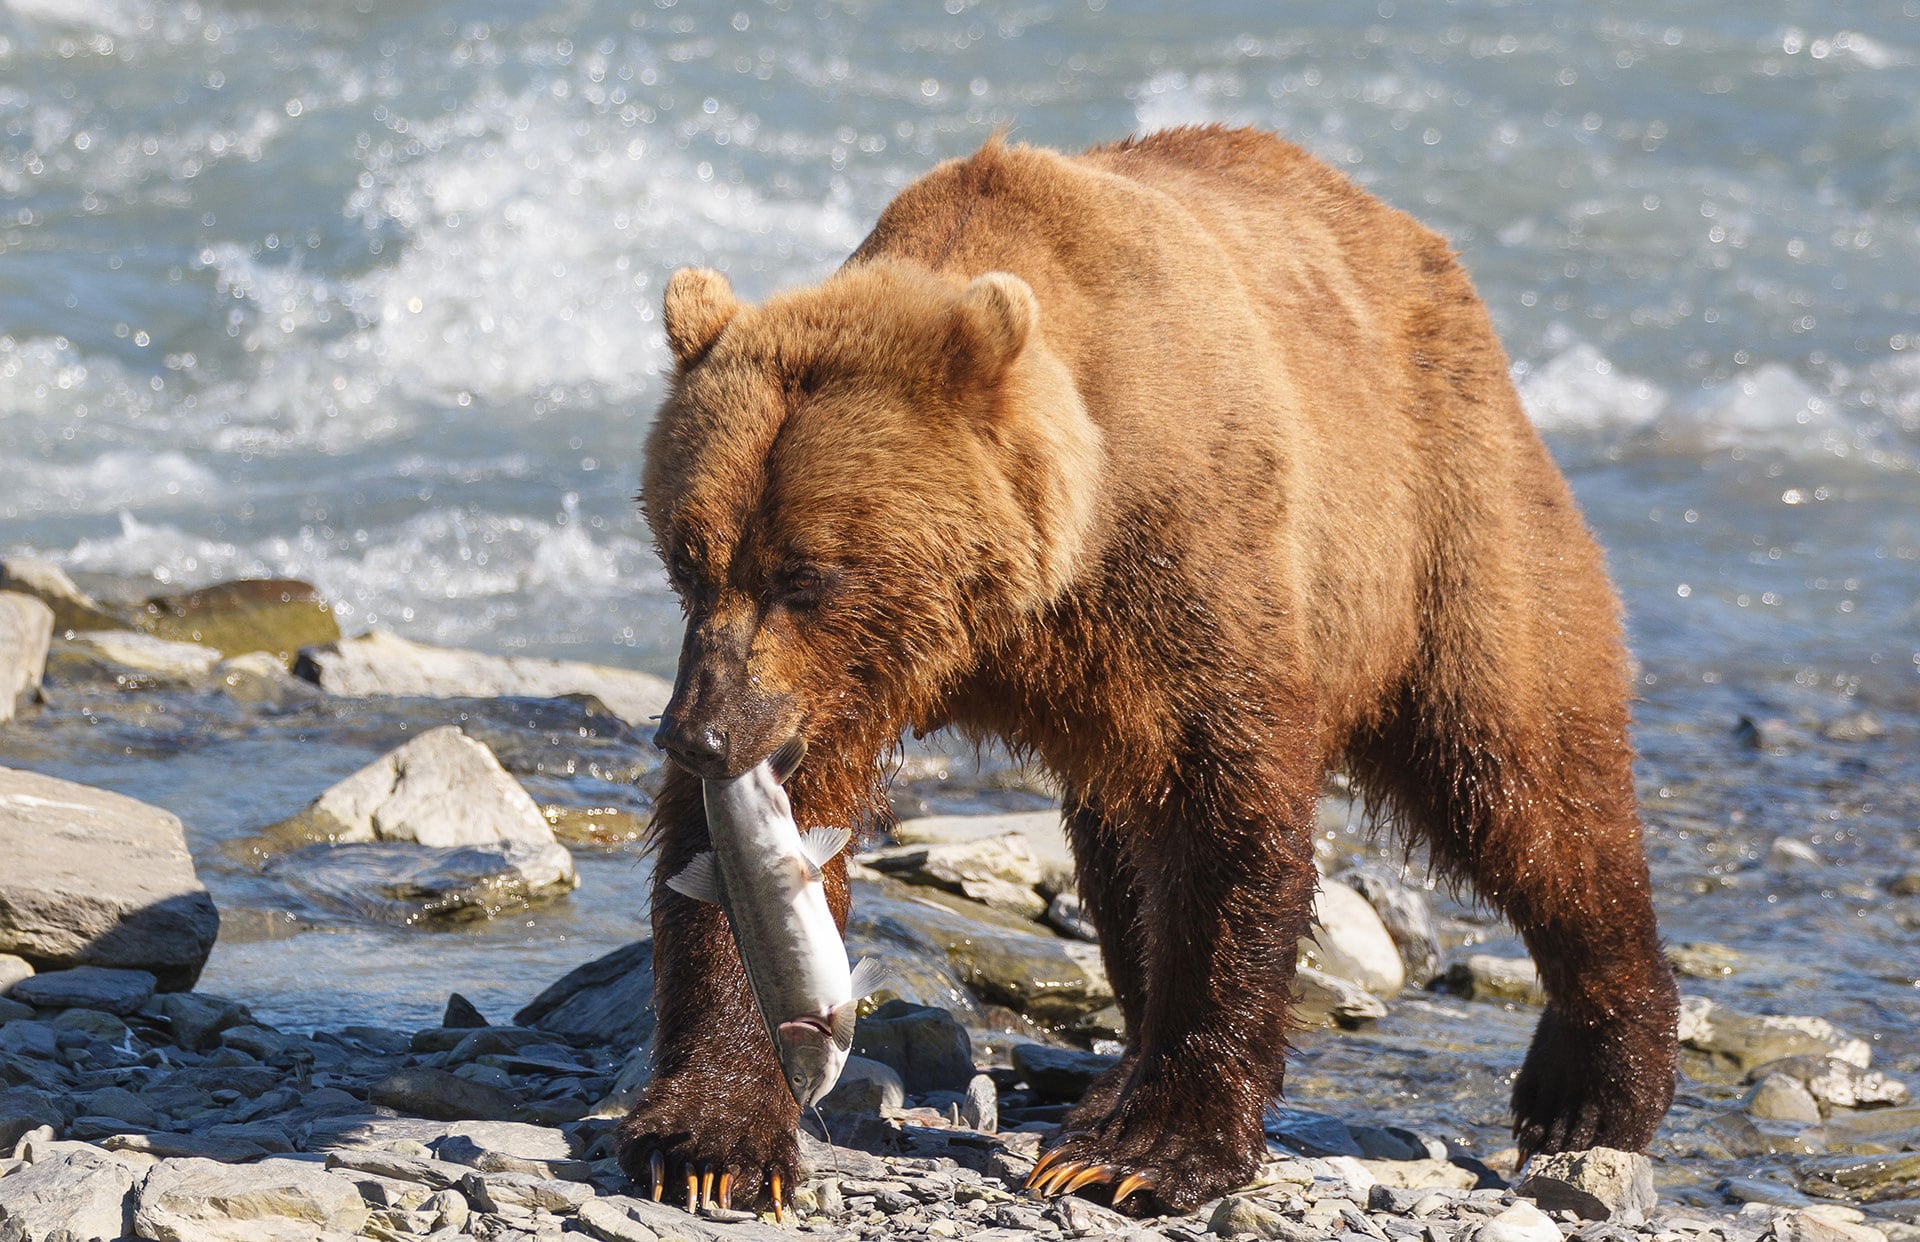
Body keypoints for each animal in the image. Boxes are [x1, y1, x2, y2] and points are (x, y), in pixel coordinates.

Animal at [620, 125, 1680, 1215]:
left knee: (1523, 783)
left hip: (1448, 521)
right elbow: (754, 851)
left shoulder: (1187, 563)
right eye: (686, 559)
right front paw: (710, 1136)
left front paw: (1146, 1150)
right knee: (1119, 858)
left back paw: (1588, 1089)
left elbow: (1223, 826)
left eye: (805, 574)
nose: (696, 733)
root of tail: (1420, 244)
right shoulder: (846, 681)